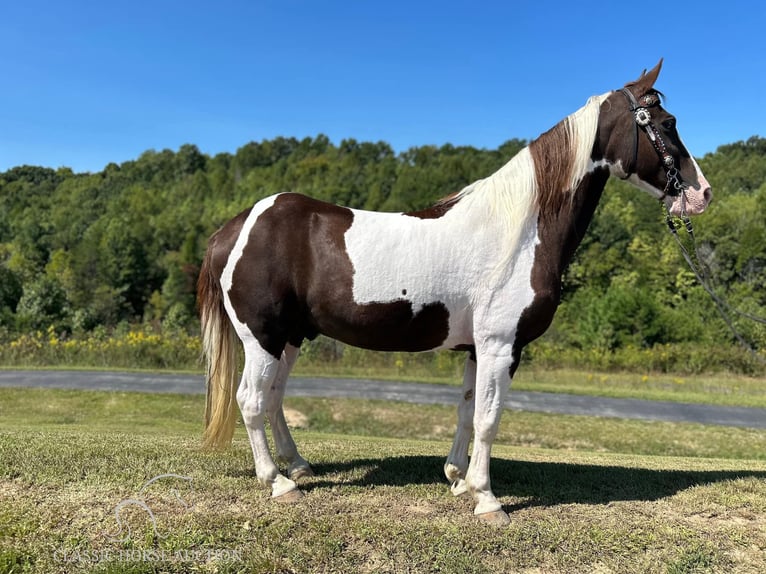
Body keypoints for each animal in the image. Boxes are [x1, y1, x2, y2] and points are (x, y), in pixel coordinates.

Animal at [198, 62, 712, 528]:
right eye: (668, 123)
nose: (702, 194)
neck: (521, 230)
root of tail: (235, 227)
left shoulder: (479, 348)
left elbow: (468, 411)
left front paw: (458, 478)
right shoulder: (502, 346)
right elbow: (489, 418)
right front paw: (487, 500)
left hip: (288, 338)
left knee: (273, 398)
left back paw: (298, 467)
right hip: (262, 337)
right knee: (251, 400)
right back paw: (278, 483)